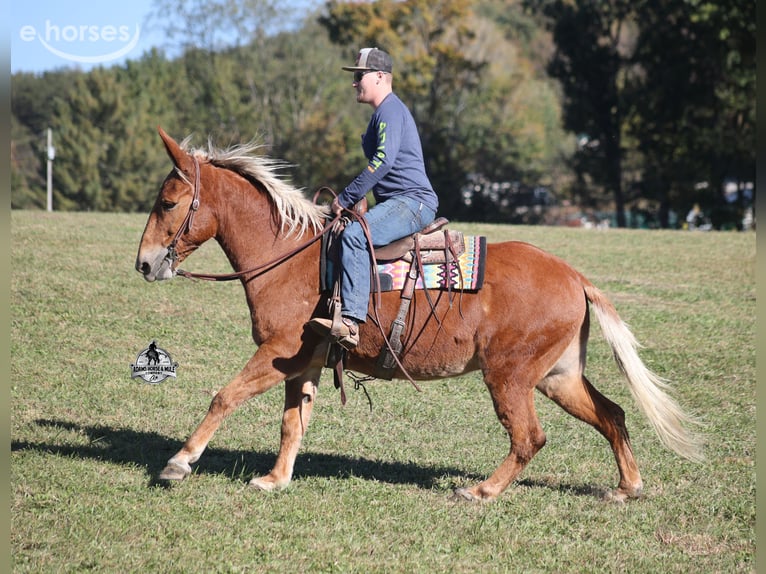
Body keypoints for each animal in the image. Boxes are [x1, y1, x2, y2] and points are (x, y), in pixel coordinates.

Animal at [135, 127, 703, 502]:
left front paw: (179, 462)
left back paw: (481, 491)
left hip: (510, 376)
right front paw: (275, 479)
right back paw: (627, 486)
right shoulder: (305, 361)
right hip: (557, 377)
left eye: (168, 203)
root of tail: (575, 276)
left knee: (529, 438)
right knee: (612, 414)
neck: (290, 256)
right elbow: (292, 423)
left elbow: (225, 396)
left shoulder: (278, 351)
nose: (143, 262)